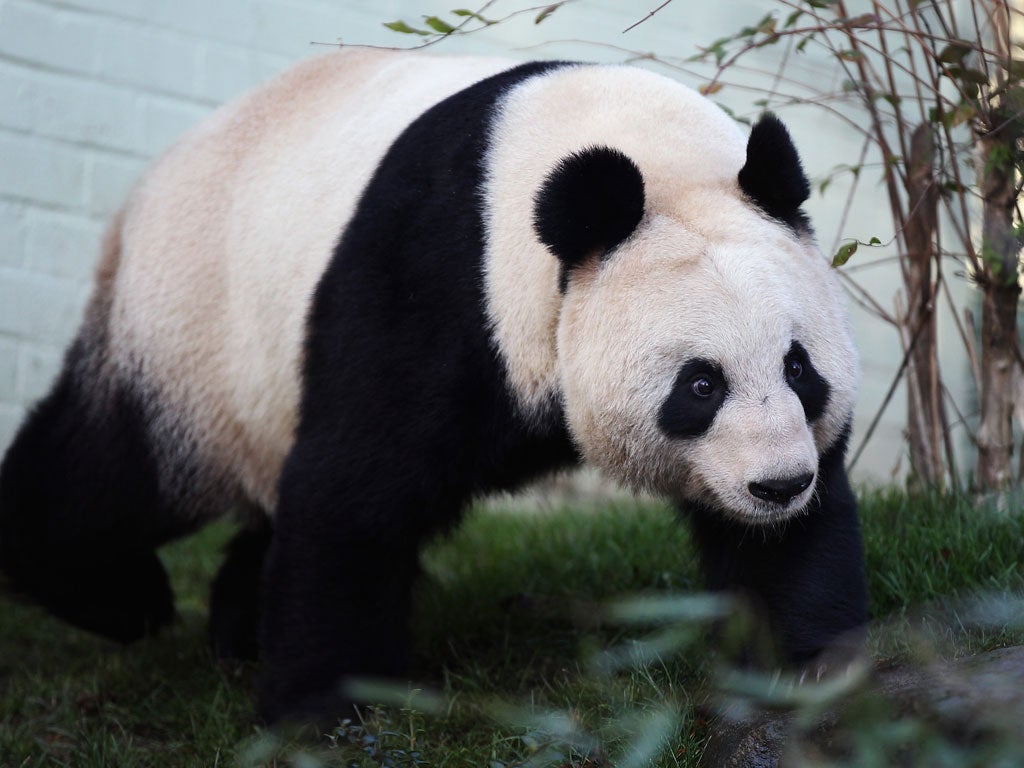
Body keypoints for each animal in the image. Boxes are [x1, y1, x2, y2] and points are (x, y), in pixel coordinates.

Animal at [0, 51, 868, 724]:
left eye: (798, 367)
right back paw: (122, 599)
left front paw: (803, 668)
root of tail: (144, 192)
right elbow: (355, 488)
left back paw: (236, 629)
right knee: (113, 469)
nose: (777, 484)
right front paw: (324, 710)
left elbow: (783, 549)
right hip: (193, 331)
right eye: (700, 384)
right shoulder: (436, 278)